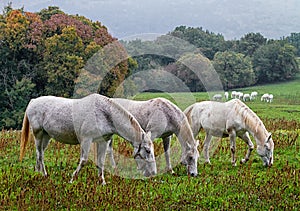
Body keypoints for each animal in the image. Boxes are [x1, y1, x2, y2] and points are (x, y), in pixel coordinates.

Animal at [19, 93, 157, 184]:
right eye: (147, 150)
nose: (153, 173)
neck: (104, 114)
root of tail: (33, 101)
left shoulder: (103, 141)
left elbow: (101, 162)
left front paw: (102, 182)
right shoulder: (86, 140)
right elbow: (84, 160)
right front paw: (72, 179)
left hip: (46, 136)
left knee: (39, 153)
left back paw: (38, 173)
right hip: (38, 133)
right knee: (40, 155)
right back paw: (45, 175)